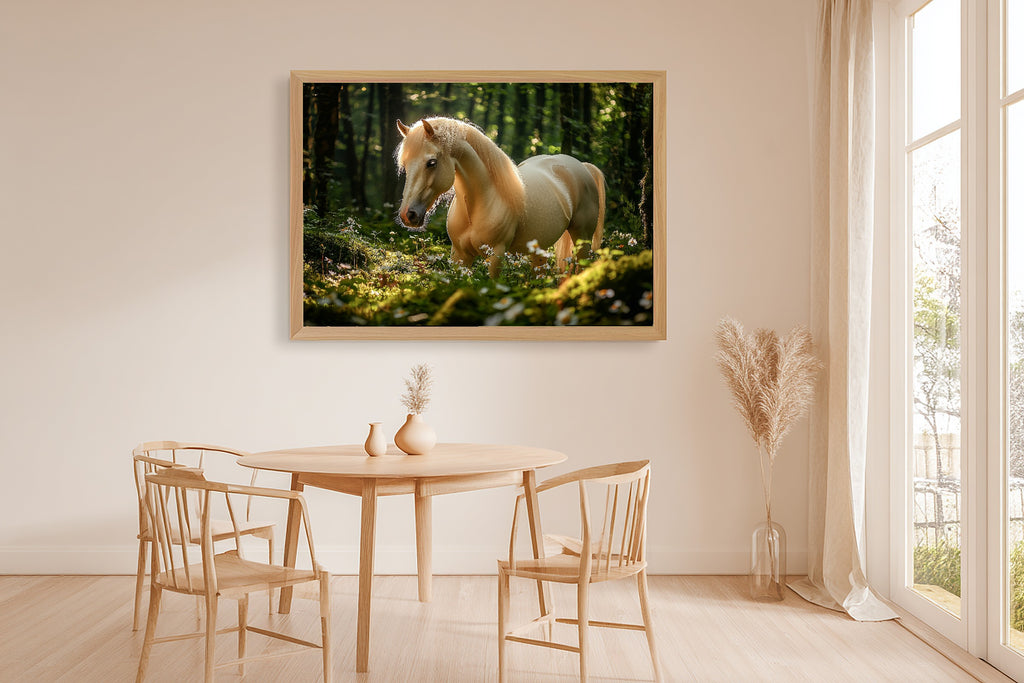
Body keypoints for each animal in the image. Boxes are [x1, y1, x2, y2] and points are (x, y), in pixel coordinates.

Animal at [394, 117, 605, 279]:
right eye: (405, 165)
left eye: (431, 162)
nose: (408, 215)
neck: (476, 206)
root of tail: (582, 166)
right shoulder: (459, 255)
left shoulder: (496, 254)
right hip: (540, 250)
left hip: (582, 240)